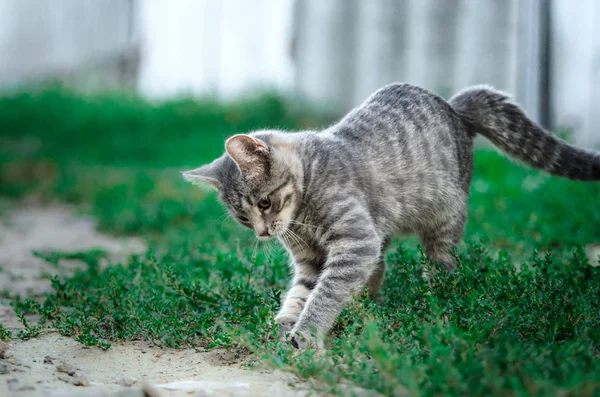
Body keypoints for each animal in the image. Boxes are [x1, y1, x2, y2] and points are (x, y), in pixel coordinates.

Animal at [183, 83, 600, 346]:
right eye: (243, 218)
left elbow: (326, 293)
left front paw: (308, 332)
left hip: (442, 222)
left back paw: (437, 301)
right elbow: (303, 290)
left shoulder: (356, 241)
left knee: (442, 266)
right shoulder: (311, 258)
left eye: (264, 203)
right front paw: (286, 320)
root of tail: (454, 108)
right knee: (379, 269)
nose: (263, 233)